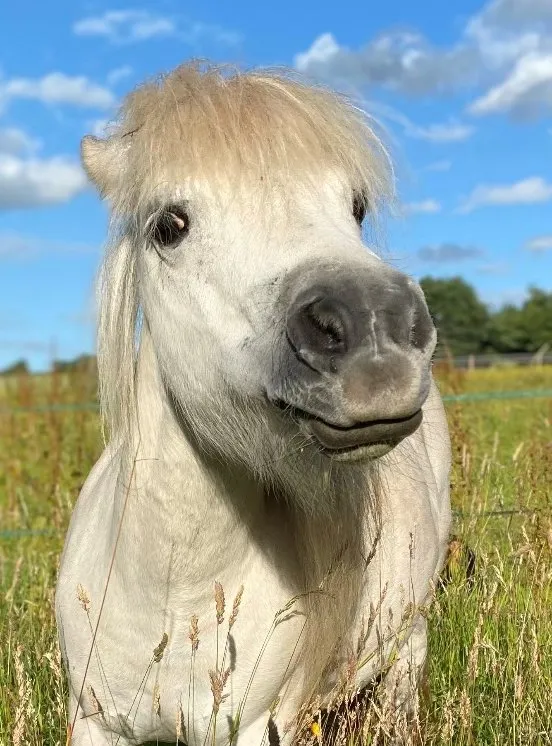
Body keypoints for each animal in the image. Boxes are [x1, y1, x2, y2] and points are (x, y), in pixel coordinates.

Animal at [55, 61, 451, 746]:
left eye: (356, 207)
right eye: (169, 226)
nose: (376, 331)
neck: (174, 595)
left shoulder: (257, 725)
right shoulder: (96, 720)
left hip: (409, 636)